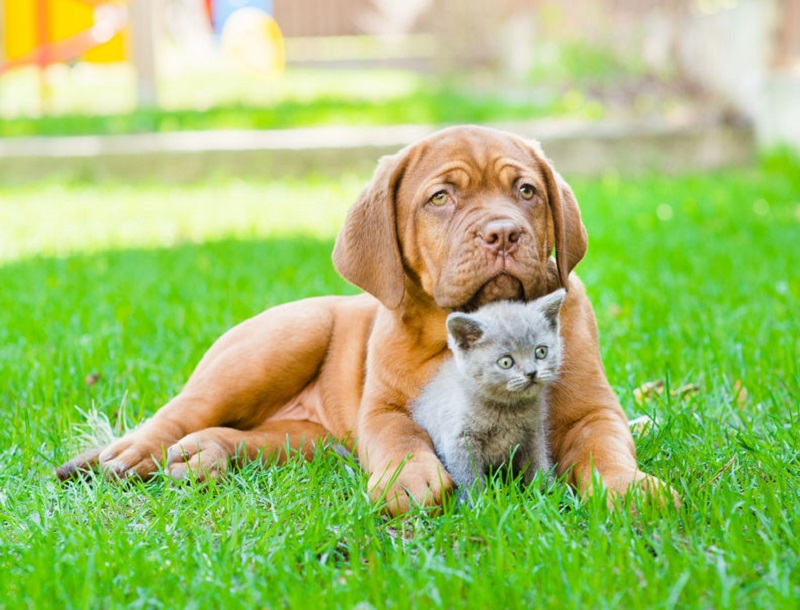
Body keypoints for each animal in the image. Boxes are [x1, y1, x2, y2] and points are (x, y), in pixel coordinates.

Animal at [412, 288, 564, 502]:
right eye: (506, 362)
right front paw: (476, 503)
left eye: (541, 351)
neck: (507, 410)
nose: (531, 372)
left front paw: (549, 494)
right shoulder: (459, 440)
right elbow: (467, 476)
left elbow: (538, 463)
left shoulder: (533, 433)